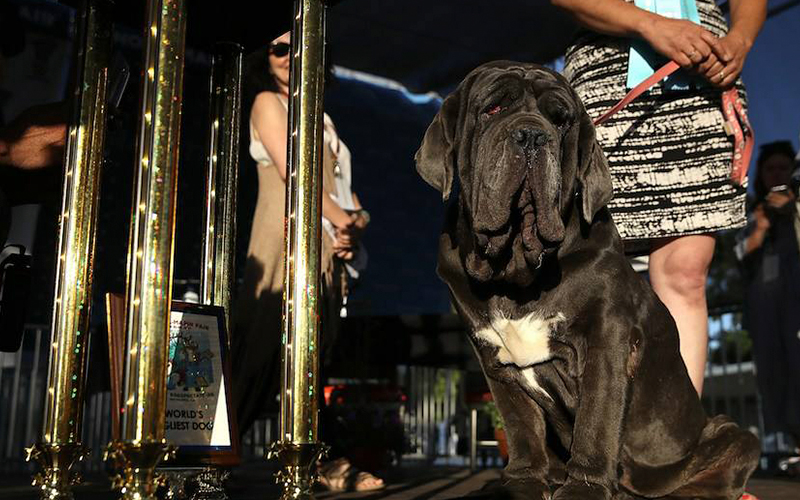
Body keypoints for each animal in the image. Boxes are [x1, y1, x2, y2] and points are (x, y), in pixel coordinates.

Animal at [416, 60, 760, 498]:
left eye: (560, 121)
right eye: (492, 109)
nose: (532, 135)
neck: (515, 272)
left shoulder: (606, 340)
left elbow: (596, 421)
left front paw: (584, 487)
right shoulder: (493, 359)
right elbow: (521, 425)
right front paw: (521, 483)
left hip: (731, 435)